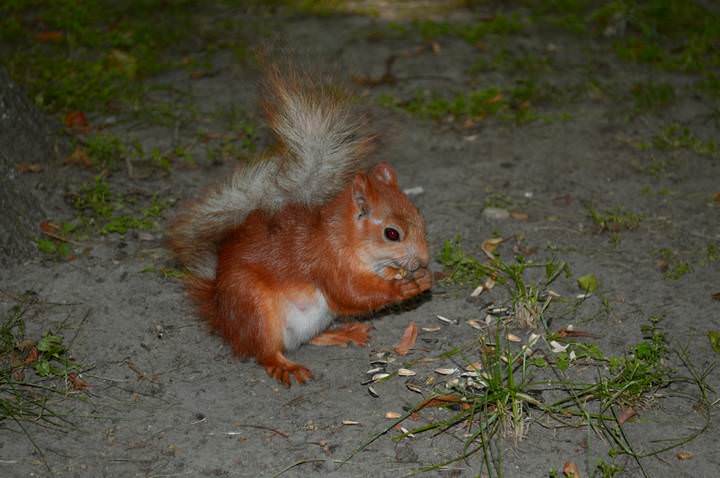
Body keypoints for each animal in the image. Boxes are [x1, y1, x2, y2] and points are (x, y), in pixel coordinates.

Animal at [167, 66, 431, 386]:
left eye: (418, 215)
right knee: (266, 351)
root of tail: (224, 318)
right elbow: (351, 294)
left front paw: (411, 275)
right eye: (392, 234)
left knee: (305, 340)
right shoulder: (326, 263)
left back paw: (343, 332)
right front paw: (405, 286)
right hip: (254, 307)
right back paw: (285, 366)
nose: (424, 260)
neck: (343, 238)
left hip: (314, 319)